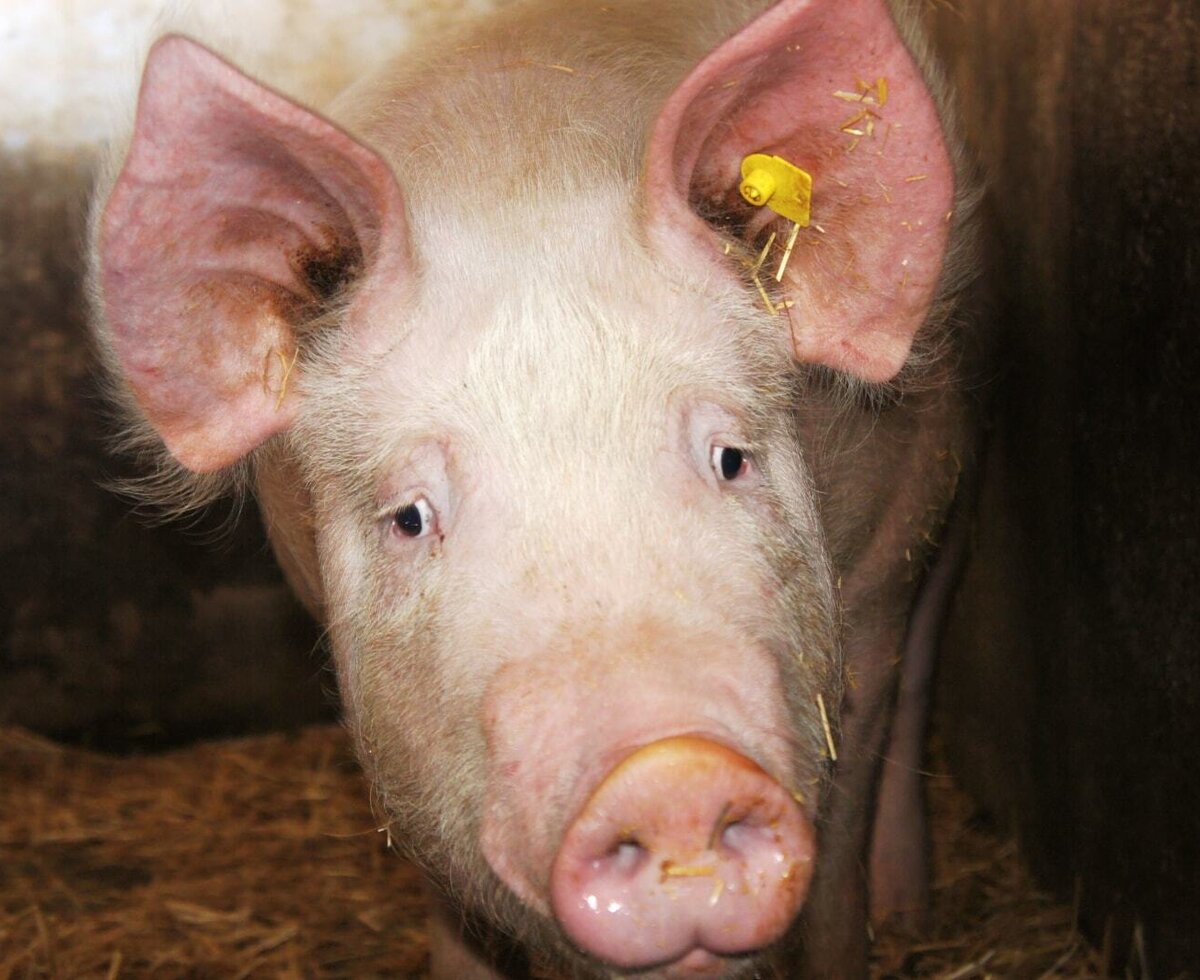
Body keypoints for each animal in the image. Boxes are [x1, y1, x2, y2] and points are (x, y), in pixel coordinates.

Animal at [90, 0, 977, 975]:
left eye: (730, 458)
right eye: (410, 517)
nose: (671, 776)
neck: (522, 172)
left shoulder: (879, 568)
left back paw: (909, 914)